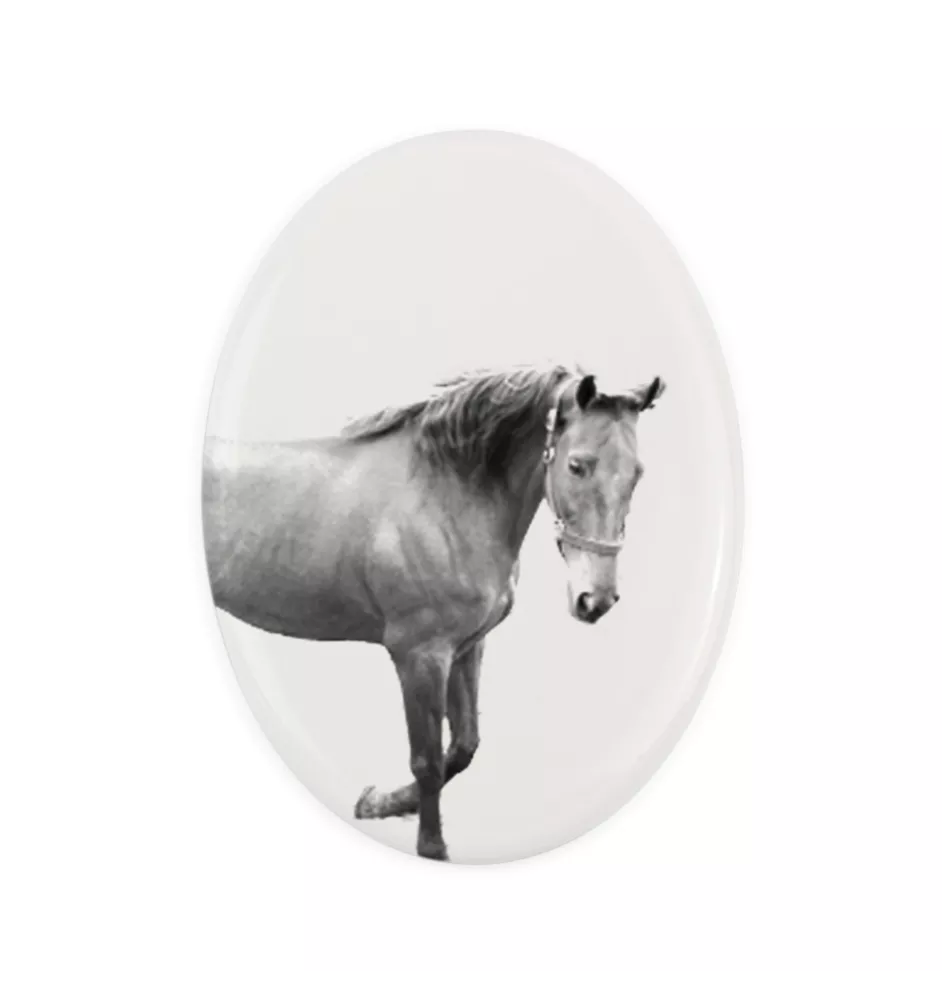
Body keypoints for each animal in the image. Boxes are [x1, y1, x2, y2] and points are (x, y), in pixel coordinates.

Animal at [202, 363, 665, 861]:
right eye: (577, 465)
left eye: (637, 473)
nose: (595, 599)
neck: (443, 495)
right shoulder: (420, 656)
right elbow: (426, 761)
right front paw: (430, 844)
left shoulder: (467, 648)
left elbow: (463, 747)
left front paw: (381, 802)